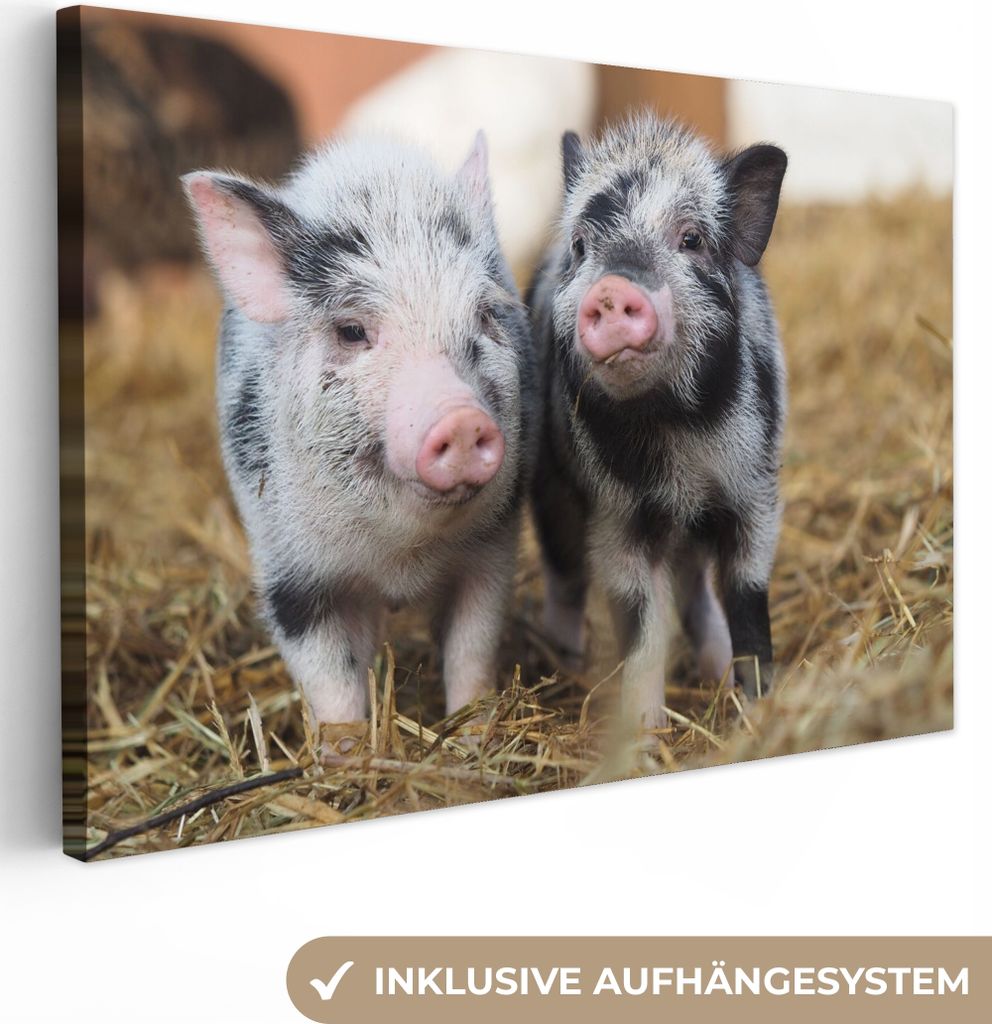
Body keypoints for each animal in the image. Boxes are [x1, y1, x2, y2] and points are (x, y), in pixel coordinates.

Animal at [182, 132, 537, 743]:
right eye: (351, 331)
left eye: (486, 316)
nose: (462, 420)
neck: (401, 558)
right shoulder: (287, 571)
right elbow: (330, 681)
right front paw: (345, 754)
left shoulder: (492, 547)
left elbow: (472, 648)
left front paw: (471, 734)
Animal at [527, 113, 787, 729]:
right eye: (581, 245)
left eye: (691, 239)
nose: (613, 288)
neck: (676, 433)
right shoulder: (618, 517)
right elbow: (641, 624)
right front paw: (645, 731)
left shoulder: (754, 495)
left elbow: (747, 597)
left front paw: (758, 707)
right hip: (551, 491)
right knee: (565, 577)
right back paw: (569, 664)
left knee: (697, 591)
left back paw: (715, 670)